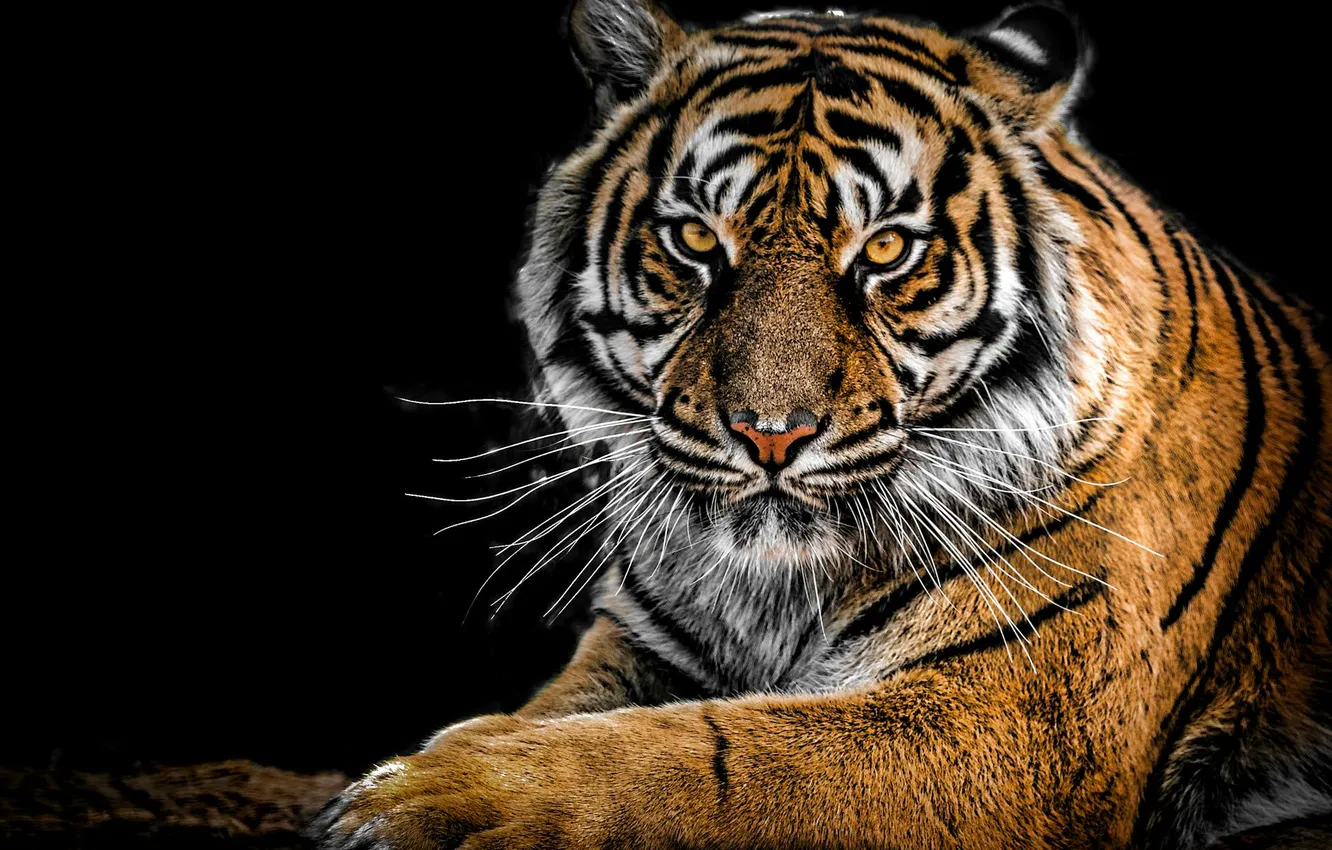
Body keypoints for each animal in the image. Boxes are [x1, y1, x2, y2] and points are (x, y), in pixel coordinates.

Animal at [310, 2, 1332, 848]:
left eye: (885, 249)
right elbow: (569, 711)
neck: (774, 589)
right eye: (695, 238)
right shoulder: (643, 643)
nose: (771, 433)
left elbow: (704, 758)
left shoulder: (1020, 717)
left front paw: (432, 795)